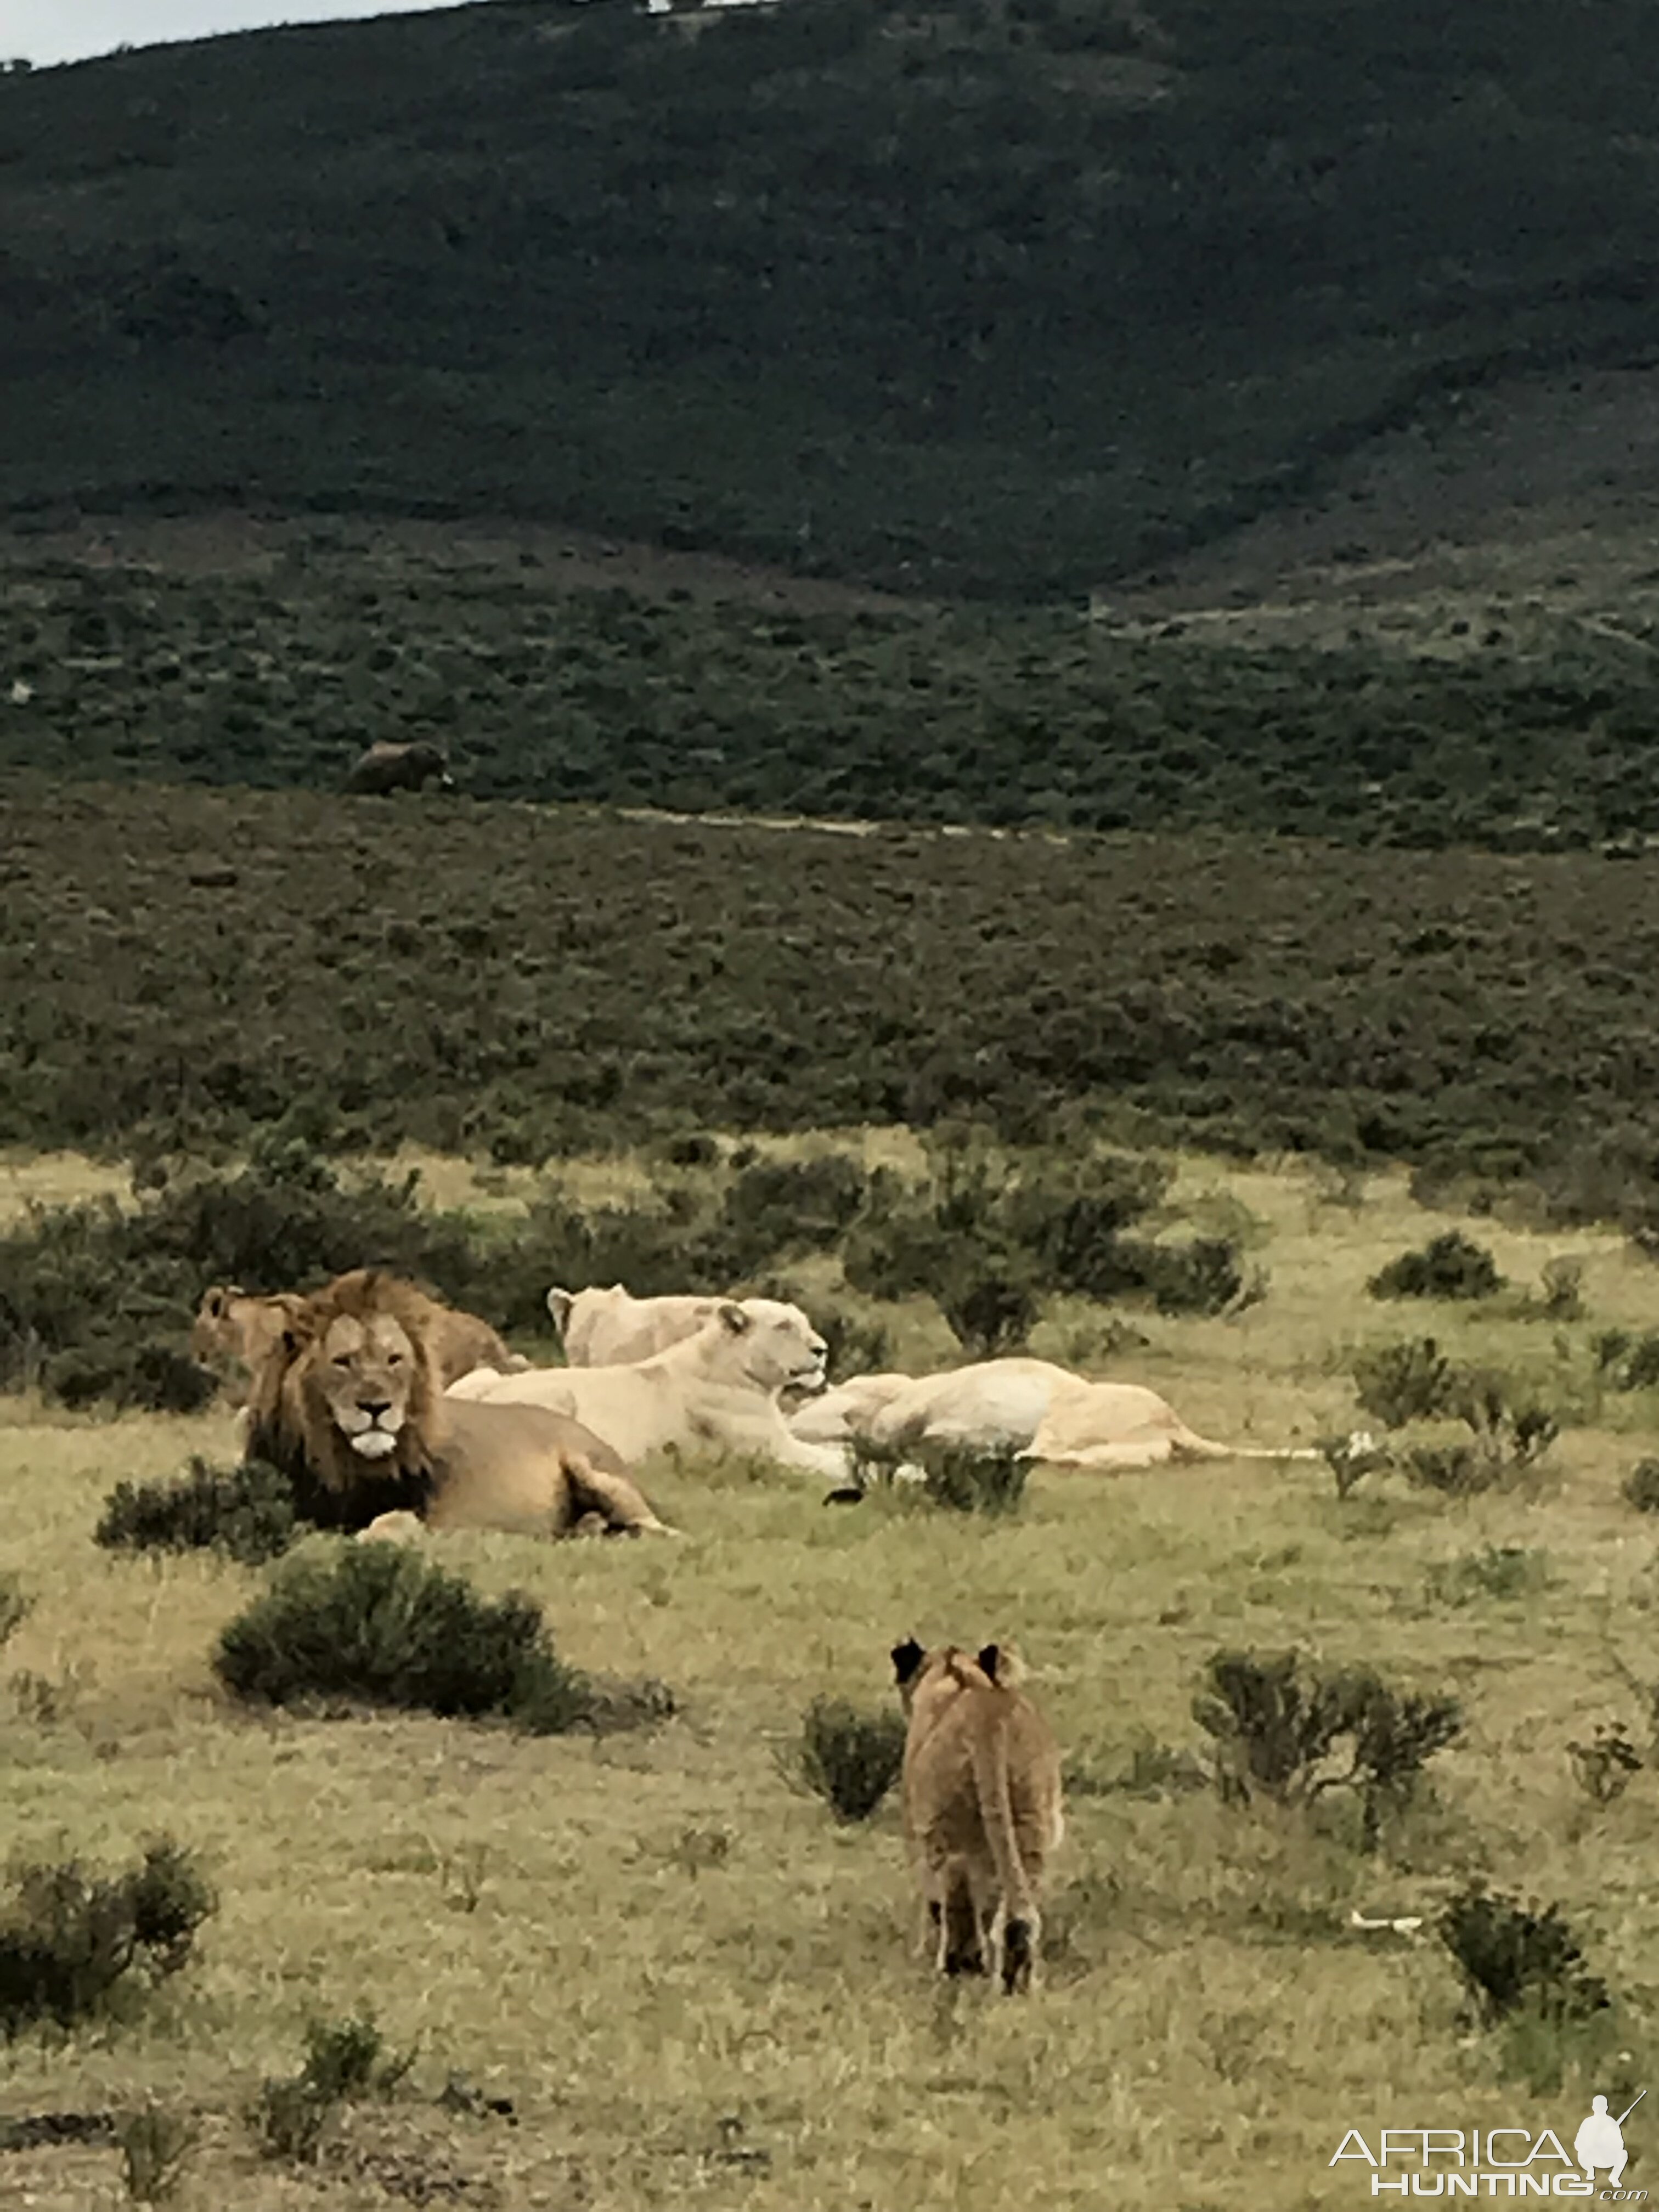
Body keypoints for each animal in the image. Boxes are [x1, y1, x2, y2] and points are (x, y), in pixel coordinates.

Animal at [243, 1274, 672, 1548]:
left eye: (394, 1359)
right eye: (343, 1361)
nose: (377, 1407)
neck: (342, 1462)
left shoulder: (422, 1510)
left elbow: (393, 1523)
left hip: (597, 1472)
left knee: (658, 1529)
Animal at [451, 1291, 858, 1486]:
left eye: (804, 1321)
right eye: (784, 1326)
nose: (822, 1350)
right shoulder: (770, 1448)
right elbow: (831, 1461)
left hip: (483, 1375)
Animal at [898, 1637, 1066, 1999]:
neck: (958, 1678)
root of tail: (992, 1723)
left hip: (951, 1834)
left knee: (962, 1902)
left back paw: (955, 1968)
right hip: (1031, 1824)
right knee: (1017, 1906)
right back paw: (1021, 1982)